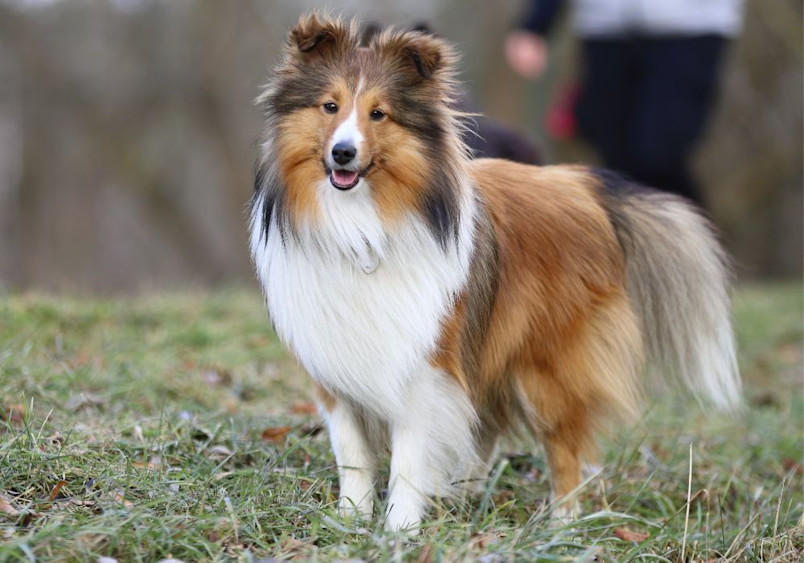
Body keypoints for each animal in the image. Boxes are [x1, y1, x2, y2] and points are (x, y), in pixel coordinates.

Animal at [251, 14, 740, 532]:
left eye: (379, 114)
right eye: (330, 106)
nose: (343, 153)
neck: (362, 229)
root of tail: (581, 184)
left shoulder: (424, 363)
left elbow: (409, 455)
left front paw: (400, 530)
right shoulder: (335, 366)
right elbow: (353, 454)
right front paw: (351, 520)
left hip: (546, 369)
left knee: (563, 448)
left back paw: (562, 525)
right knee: (486, 427)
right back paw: (465, 495)